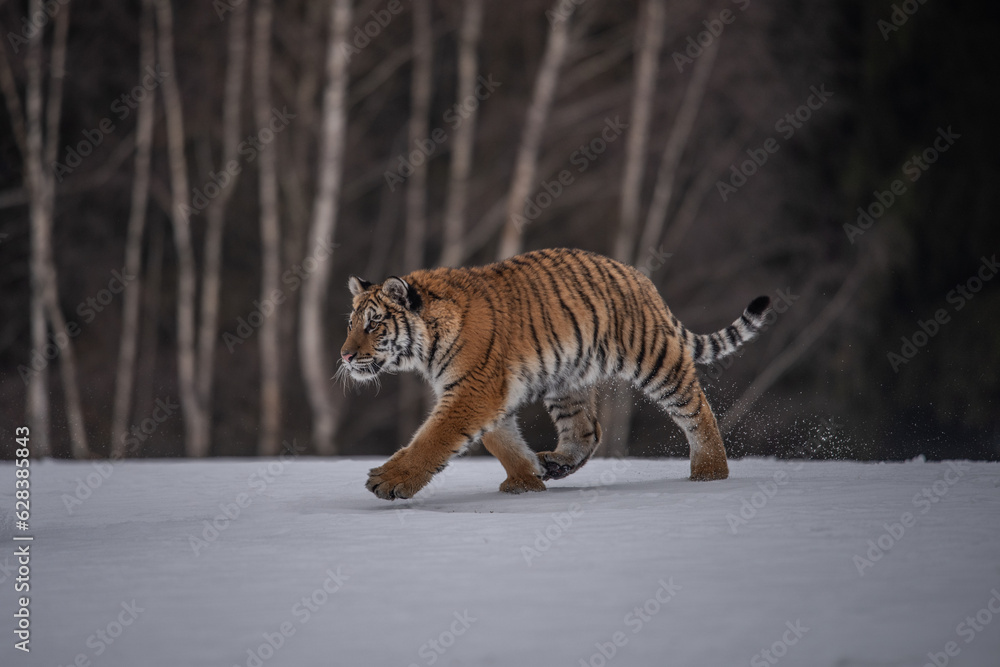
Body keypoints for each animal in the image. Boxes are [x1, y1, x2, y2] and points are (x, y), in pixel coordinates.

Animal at [339, 247, 771, 500]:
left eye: (374, 323)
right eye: (351, 323)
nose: (344, 356)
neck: (427, 346)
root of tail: (637, 274)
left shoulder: (474, 391)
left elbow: (432, 439)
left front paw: (389, 481)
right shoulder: (488, 393)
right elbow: (502, 440)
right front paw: (525, 480)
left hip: (653, 358)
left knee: (697, 408)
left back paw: (710, 473)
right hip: (567, 379)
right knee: (588, 429)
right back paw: (556, 463)